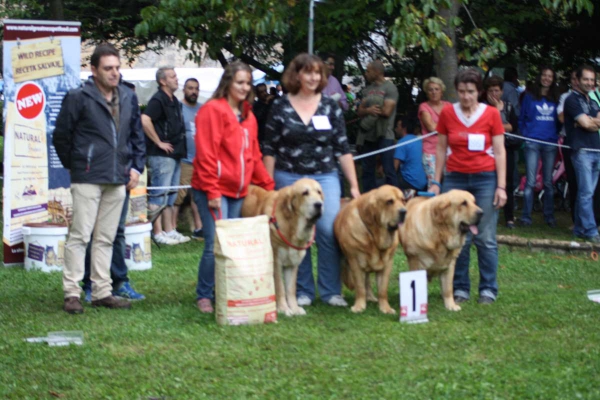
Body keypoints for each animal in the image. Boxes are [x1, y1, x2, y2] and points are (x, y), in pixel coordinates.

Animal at [240, 178, 324, 316]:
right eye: (305, 193)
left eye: (319, 192)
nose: (319, 204)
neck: (292, 226)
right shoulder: (276, 262)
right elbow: (280, 288)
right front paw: (283, 308)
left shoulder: (292, 264)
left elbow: (290, 289)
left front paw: (294, 308)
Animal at [336, 186, 406, 314]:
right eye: (389, 201)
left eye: (403, 200)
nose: (404, 211)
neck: (374, 236)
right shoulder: (355, 263)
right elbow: (360, 287)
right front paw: (359, 307)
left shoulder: (387, 264)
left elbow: (382, 290)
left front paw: (385, 308)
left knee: (367, 281)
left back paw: (371, 297)